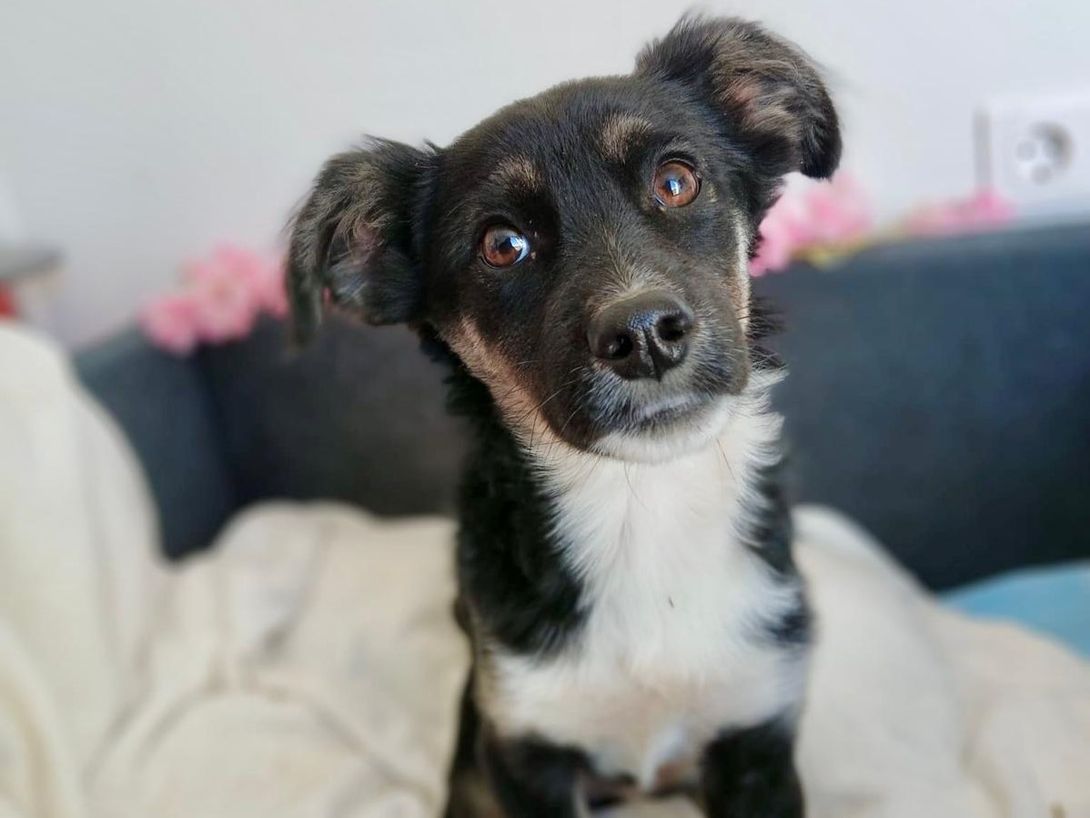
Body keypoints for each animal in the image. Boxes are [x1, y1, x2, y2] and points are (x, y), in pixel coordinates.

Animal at [287, 15, 840, 817]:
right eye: (502, 244)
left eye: (677, 181)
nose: (644, 335)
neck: (642, 510)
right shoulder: (523, 747)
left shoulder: (757, 729)